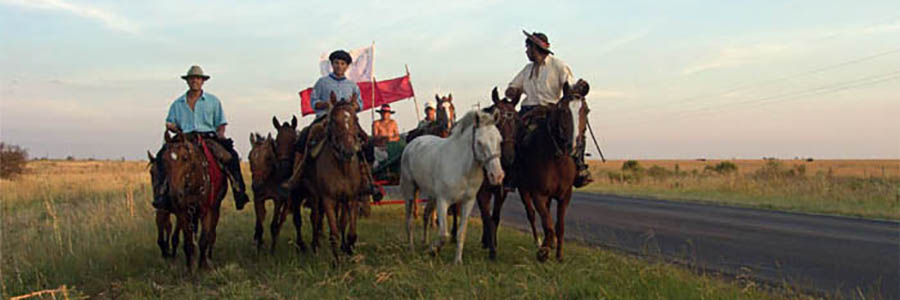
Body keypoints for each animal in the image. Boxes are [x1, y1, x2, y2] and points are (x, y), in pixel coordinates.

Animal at [148, 130, 229, 270]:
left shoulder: (207, 210)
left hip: (214, 208)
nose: (172, 194)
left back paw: (208, 256)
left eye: (185, 158)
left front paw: (203, 265)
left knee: (211, 234)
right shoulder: (179, 212)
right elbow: (186, 242)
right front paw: (189, 267)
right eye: (163, 160)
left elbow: (203, 239)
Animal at [296, 92, 366, 264]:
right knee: (315, 217)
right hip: (314, 195)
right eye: (334, 120)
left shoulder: (351, 198)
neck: (342, 168)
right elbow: (333, 232)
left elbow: (349, 229)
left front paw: (348, 249)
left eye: (356, 119)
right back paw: (315, 245)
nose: (348, 151)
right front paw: (336, 261)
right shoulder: (328, 199)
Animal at [402, 109, 506, 262]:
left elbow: (461, 233)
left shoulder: (468, 202)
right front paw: (433, 250)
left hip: (431, 195)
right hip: (410, 190)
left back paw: (424, 242)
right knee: (409, 221)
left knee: (426, 215)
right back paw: (411, 248)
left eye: (500, 141)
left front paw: (457, 261)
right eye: (479, 142)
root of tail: (412, 143)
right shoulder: (443, 201)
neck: (463, 168)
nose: (497, 176)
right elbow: (444, 234)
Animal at [512, 81, 592, 262]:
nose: (573, 146)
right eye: (562, 110)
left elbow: (559, 225)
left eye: (586, 110)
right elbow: (547, 223)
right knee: (532, 215)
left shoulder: (565, 195)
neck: (557, 160)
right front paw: (544, 250)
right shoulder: (538, 194)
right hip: (523, 190)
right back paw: (538, 241)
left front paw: (559, 255)